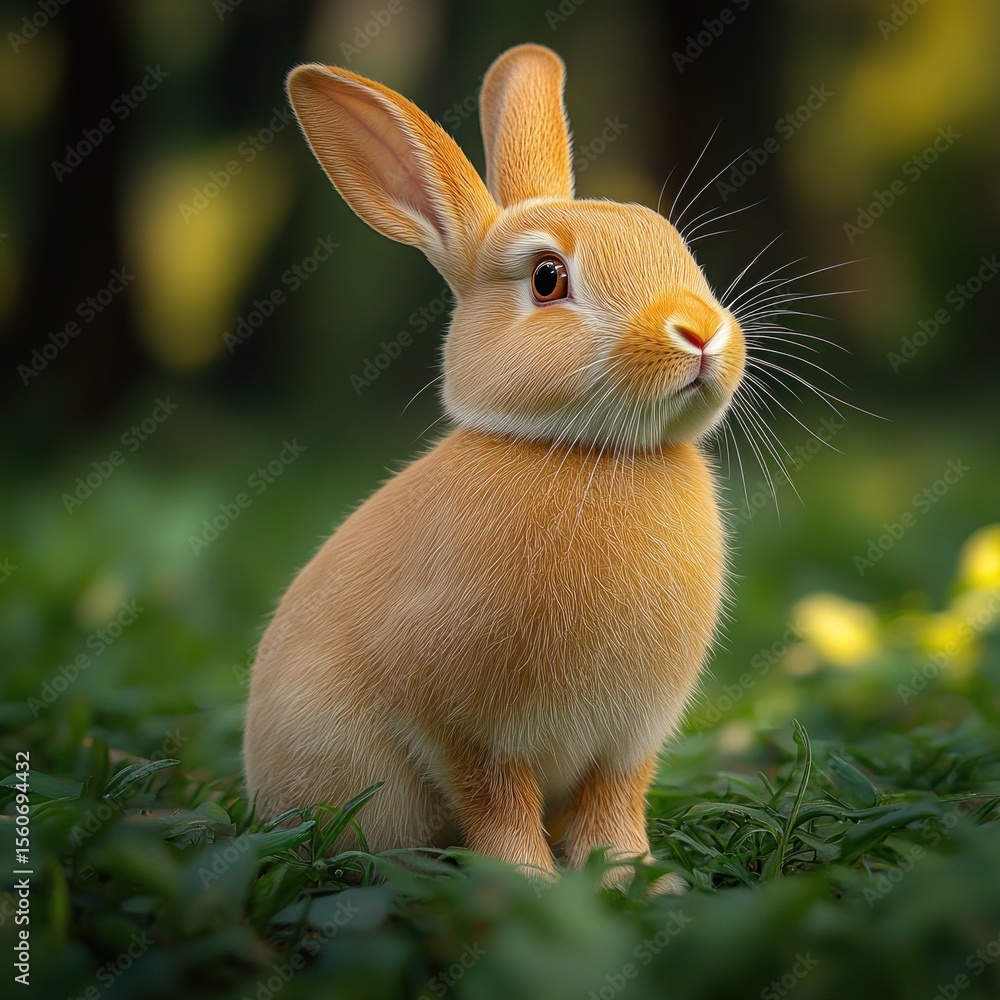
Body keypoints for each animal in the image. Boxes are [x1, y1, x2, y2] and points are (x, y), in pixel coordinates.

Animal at [243, 43, 746, 892]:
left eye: (672, 245)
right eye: (547, 279)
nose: (701, 332)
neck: (587, 451)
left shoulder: (628, 739)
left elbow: (615, 805)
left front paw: (636, 878)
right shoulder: (466, 730)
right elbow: (498, 804)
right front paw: (530, 886)